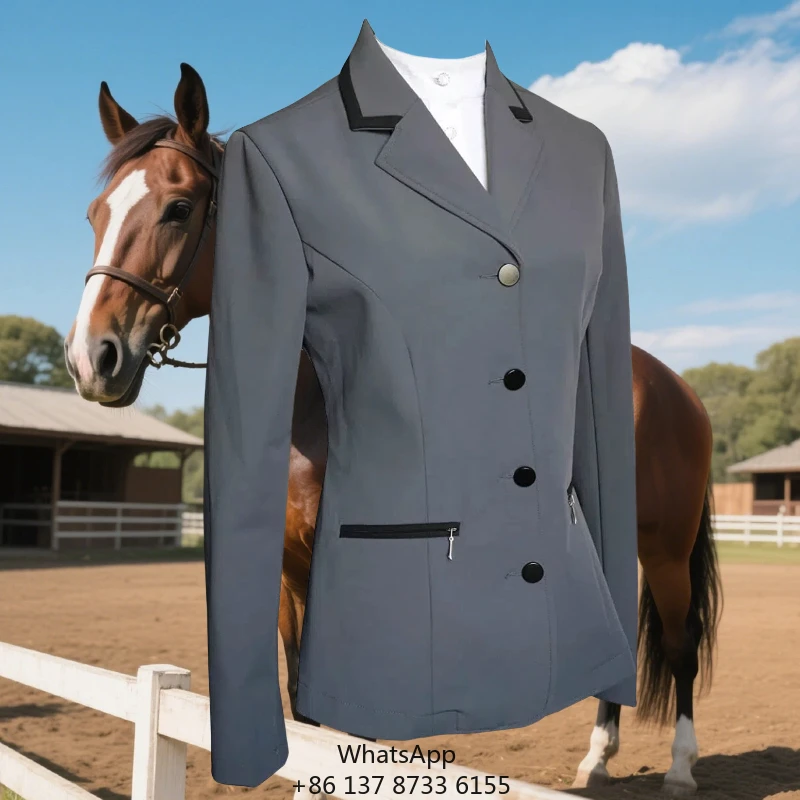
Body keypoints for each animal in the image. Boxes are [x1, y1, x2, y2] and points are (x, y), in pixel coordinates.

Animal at [64, 63, 722, 796]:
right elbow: (302, 708)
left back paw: (680, 767)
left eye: (178, 208)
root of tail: (677, 389)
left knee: (680, 645)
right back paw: (598, 755)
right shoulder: (292, 578)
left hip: (666, 550)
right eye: (96, 214)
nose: (92, 358)